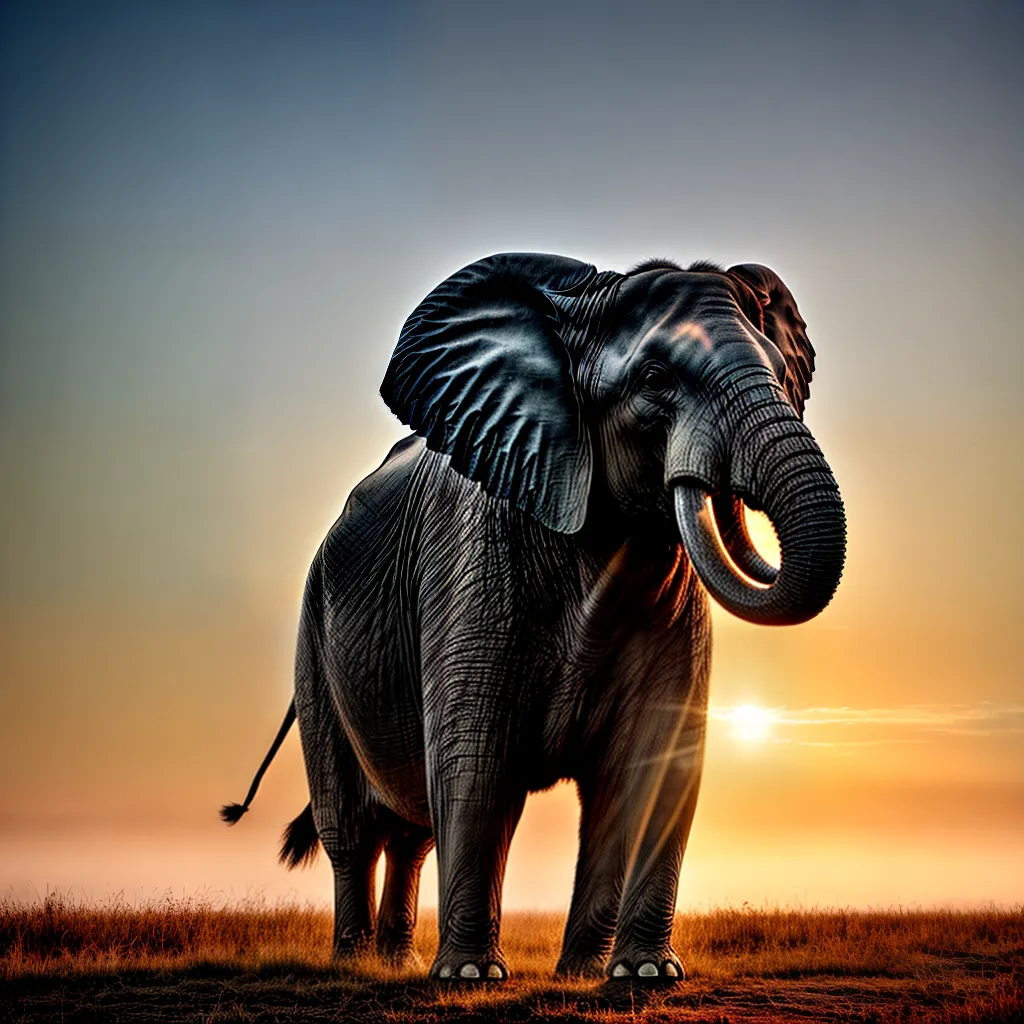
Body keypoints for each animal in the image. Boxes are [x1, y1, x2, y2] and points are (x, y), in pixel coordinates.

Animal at [221, 252, 845, 983]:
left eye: (782, 373)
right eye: (655, 380)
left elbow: (655, 770)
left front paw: (628, 976)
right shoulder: (473, 566)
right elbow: (476, 764)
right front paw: (469, 979)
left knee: (411, 832)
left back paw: (397, 963)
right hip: (313, 644)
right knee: (350, 828)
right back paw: (354, 965)